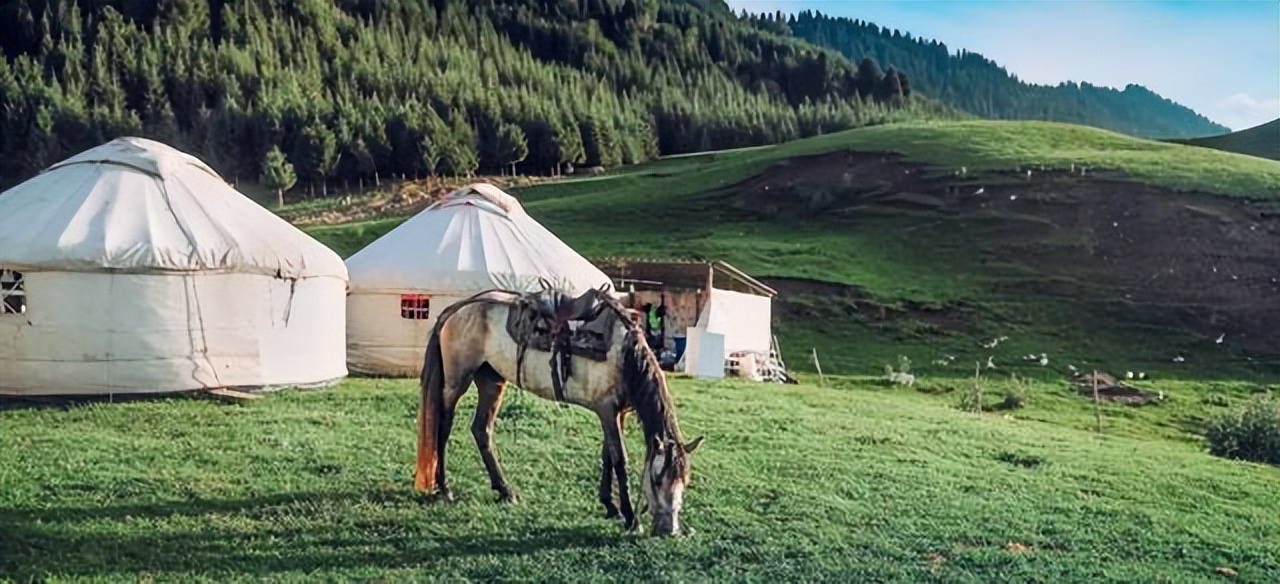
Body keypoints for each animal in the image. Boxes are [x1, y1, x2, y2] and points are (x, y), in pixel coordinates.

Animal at [414, 285, 706, 535]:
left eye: (685, 481)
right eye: (657, 479)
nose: (670, 531)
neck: (624, 355)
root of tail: (457, 308)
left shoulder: (614, 413)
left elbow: (607, 456)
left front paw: (610, 506)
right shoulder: (607, 410)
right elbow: (620, 460)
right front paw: (630, 517)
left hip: (491, 380)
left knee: (481, 430)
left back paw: (505, 490)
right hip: (456, 382)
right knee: (443, 426)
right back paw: (444, 488)